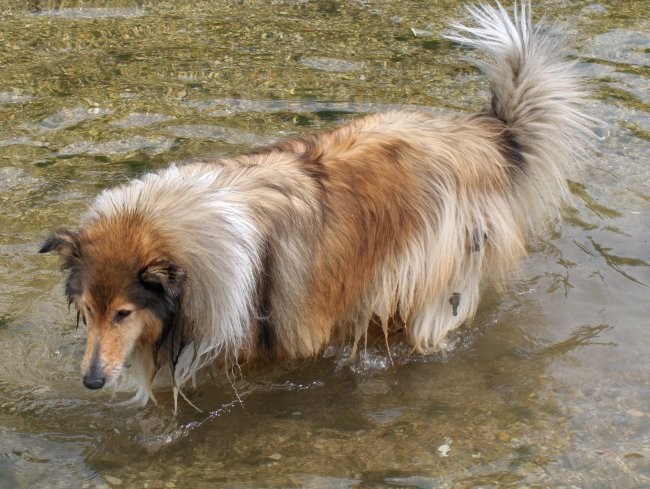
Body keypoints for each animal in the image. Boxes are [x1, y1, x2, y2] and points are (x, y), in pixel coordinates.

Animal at [38, 2, 588, 408]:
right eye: (88, 311)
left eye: (123, 313)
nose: (91, 382)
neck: (191, 238)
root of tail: (479, 136)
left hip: (425, 276)